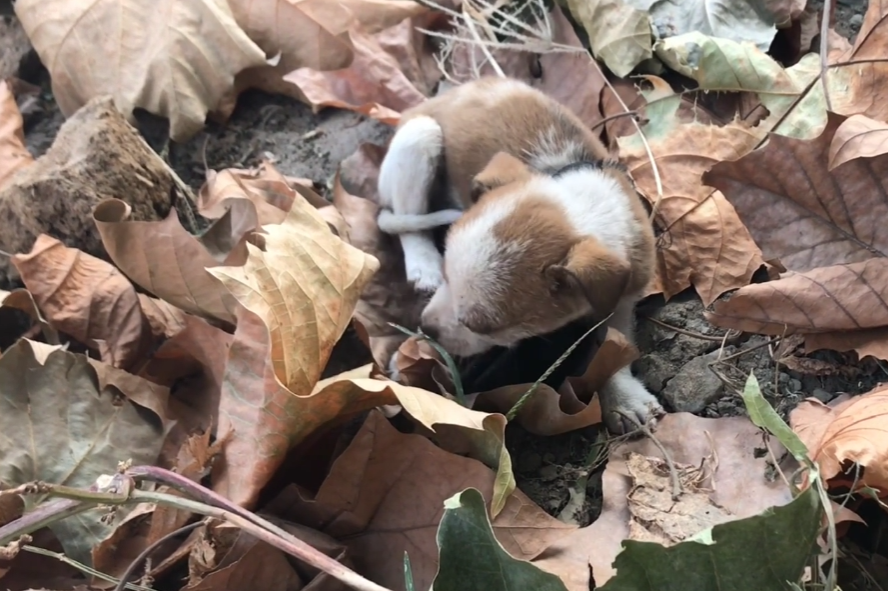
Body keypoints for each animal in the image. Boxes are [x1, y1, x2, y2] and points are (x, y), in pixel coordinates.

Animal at [376, 76, 664, 432]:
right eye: (446, 275)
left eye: (484, 325)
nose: (426, 327)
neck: (583, 210)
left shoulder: (624, 294)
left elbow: (613, 343)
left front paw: (624, 398)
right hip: (419, 137)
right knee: (407, 220)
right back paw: (421, 262)